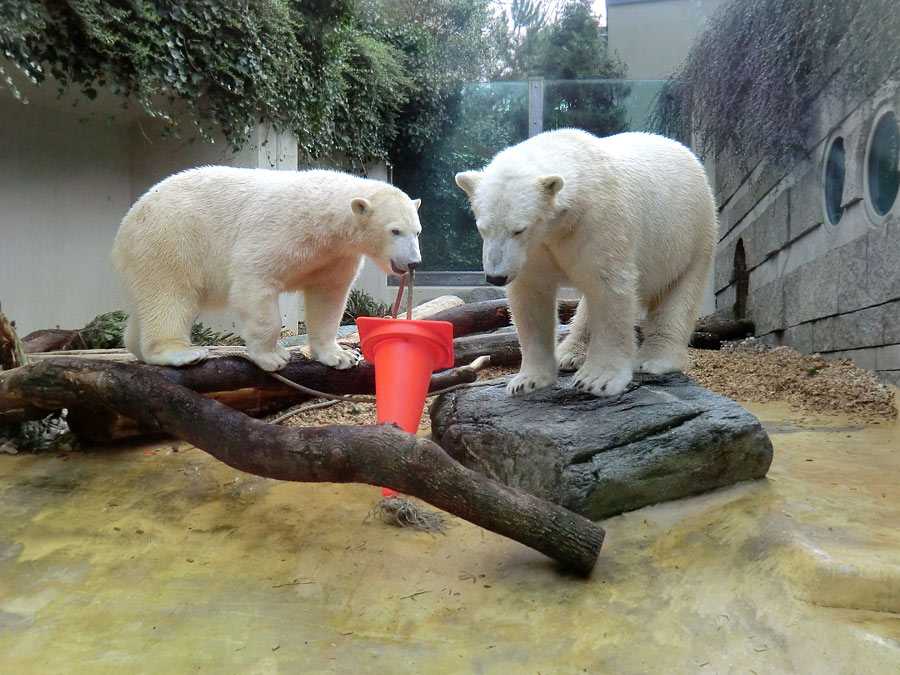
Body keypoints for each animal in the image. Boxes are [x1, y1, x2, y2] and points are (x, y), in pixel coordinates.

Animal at [110, 166, 424, 372]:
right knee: (170, 294)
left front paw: (341, 356)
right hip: (170, 238)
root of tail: (127, 221)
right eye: (395, 230)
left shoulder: (335, 256)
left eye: (418, 231)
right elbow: (255, 279)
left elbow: (328, 297)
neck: (323, 221)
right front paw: (273, 357)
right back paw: (180, 352)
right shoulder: (282, 229)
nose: (413, 262)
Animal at [458, 129, 716, 398]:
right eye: (482, 228)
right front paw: (526, 381)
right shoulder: (536, 249)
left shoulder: (599, 222)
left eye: (519, 229)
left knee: (680, 294)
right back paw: (569, 355)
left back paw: (654, 359)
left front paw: (598, 380)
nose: (495, 277)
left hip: (692, 235)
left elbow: (609, 288)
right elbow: (532, 296)